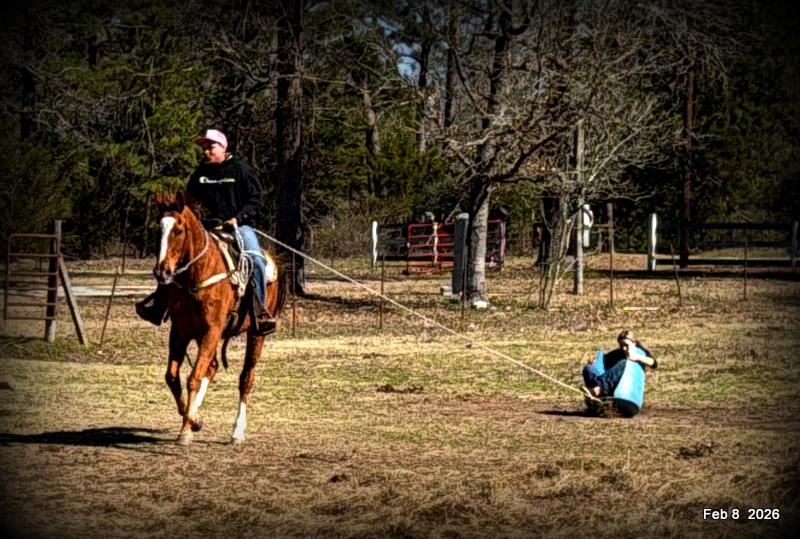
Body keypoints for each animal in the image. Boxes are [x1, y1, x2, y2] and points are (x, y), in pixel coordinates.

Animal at [152, 191, 286, 445]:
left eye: (178, 230)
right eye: (157, 229)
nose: (162, 271)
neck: (196, 276)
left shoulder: (211, 330)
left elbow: (194, 377)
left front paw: (186, 429)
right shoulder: (181, 331)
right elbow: (172, 376)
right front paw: (192, 420)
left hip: (256, 333)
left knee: (246, 378)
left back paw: (237, 431)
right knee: (212, 368)